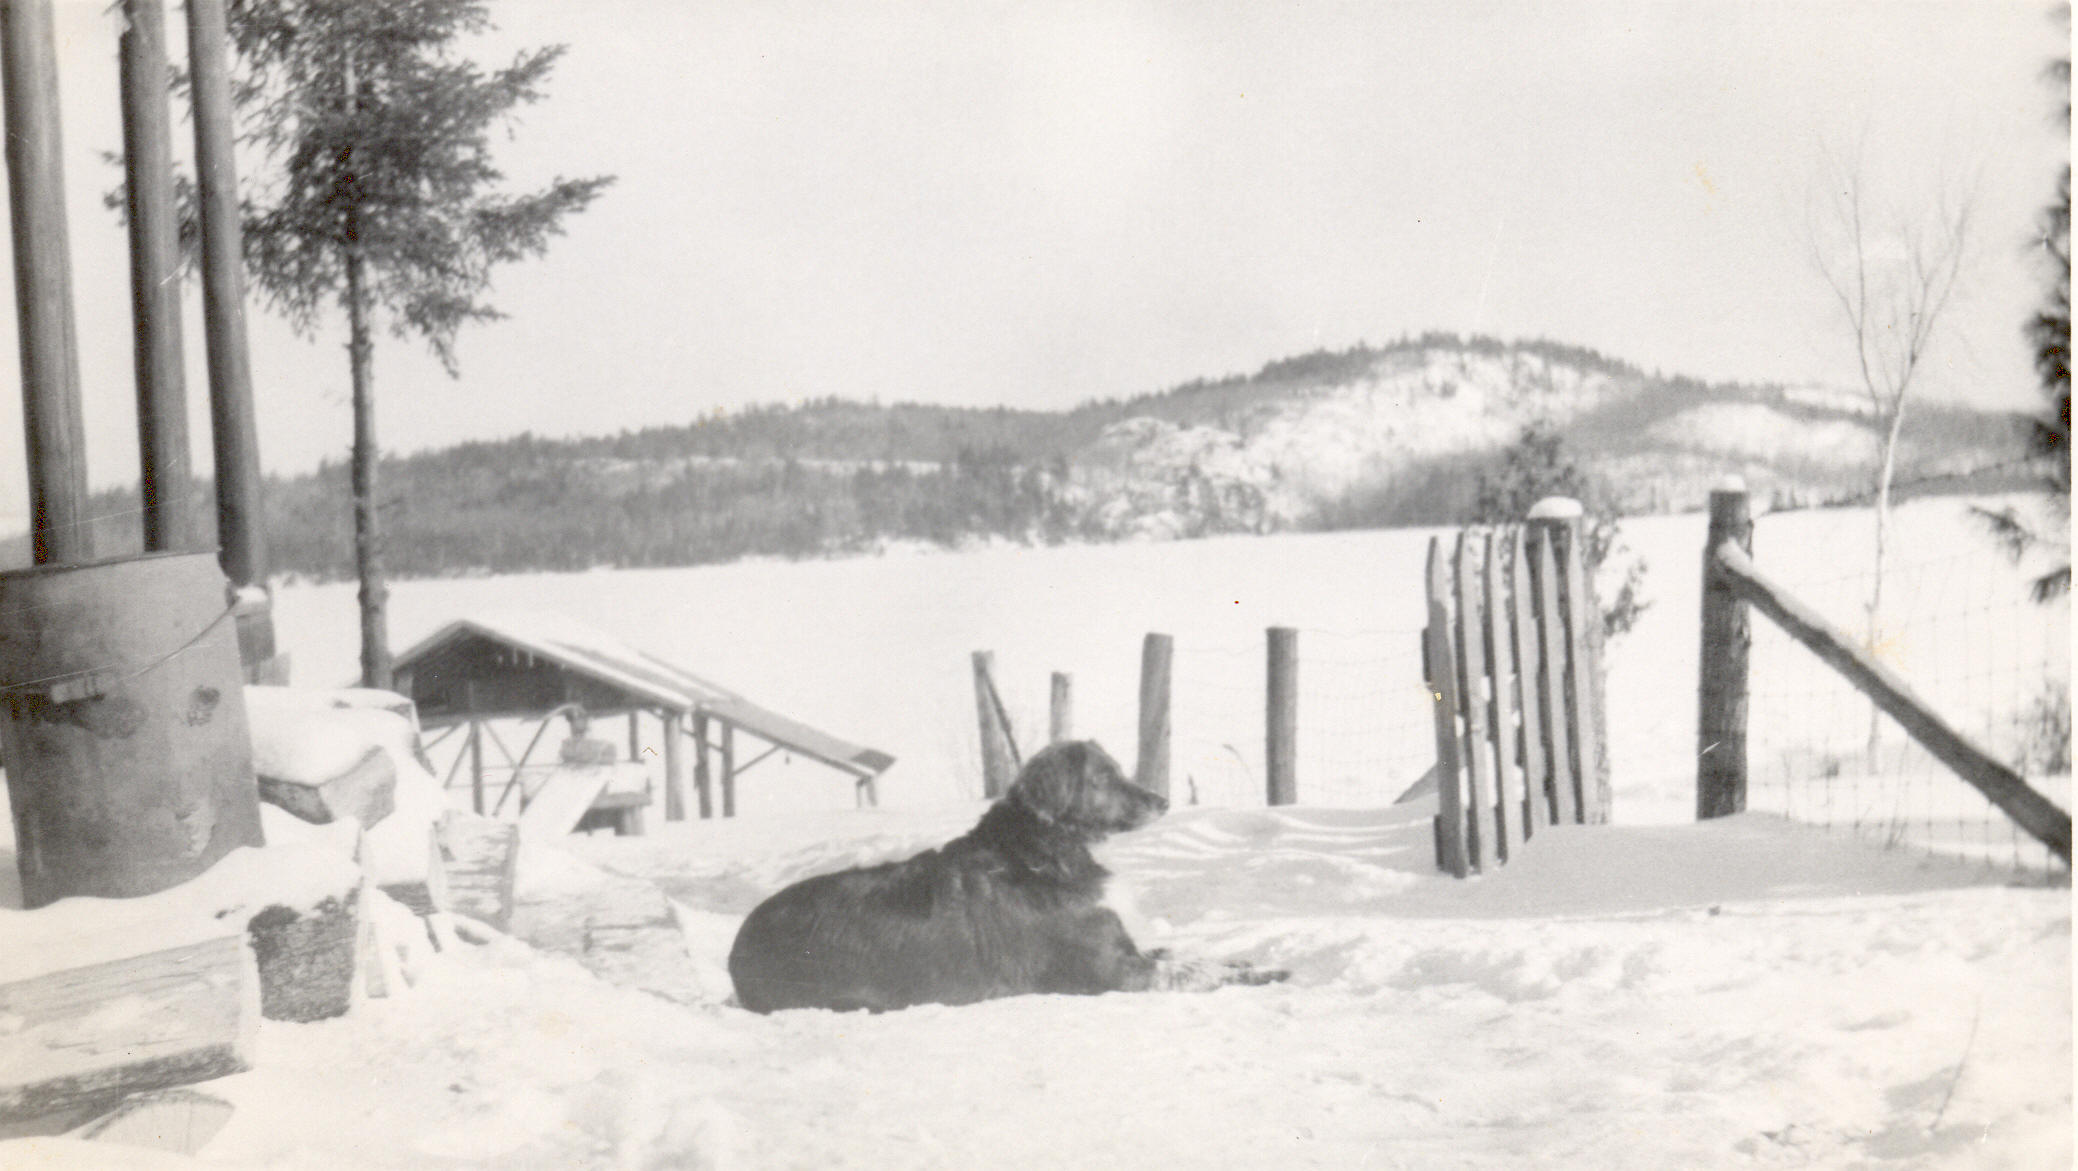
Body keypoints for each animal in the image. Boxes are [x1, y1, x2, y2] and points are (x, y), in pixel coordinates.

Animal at [727, 747, 1280, 1009]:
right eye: (1102, 779)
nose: (1162, 800)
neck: (1045, 854)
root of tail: (738, 947)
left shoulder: (1129, 949)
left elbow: (1196, 956)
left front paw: (1247, 962)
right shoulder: (1112, 972)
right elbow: (1193, 971)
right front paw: (1261, 975)